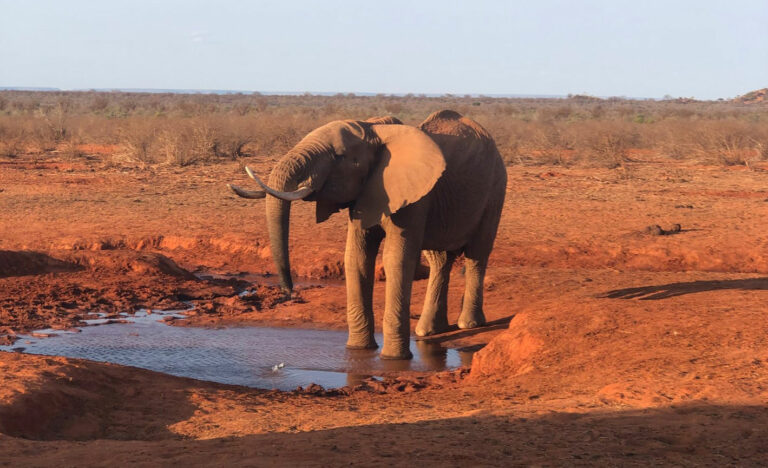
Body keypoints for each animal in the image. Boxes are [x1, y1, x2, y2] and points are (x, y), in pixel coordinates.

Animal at [225, 109, 508, 358]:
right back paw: (428, 331)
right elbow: (356, 259)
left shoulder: (414, 198)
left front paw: (393, 359)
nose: (289, 292)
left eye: (339, 156)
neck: (376, 131)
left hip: (495, 189)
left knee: (477, 254)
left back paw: (468, 325)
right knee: (439, 260)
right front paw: (358, 351)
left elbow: (396, 260)